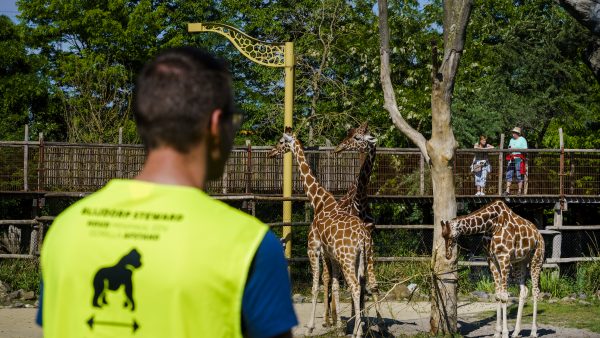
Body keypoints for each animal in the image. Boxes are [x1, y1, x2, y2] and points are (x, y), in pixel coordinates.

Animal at [268, 128, 370, 336]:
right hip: (359, 258)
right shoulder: (330, 254)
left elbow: (315, 286)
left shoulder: (313, 249)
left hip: (347, 258)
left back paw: (357, 332)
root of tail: (363, 237)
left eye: (281, 141)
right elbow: (334, 285)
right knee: (362, 285)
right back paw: (359, 328)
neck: (319, 202)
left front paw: (309, 327)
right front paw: (338, 326)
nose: (271, 152)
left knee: (355, 287)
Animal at [438, 201, 548, 338]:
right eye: (443, 236)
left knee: (535, 290)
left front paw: (505, 333)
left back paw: (533, 331)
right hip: (520, 262)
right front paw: (497, 333)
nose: (448, 255)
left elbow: (505, 296)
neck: (492, 225)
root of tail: (539, 235)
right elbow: (498, 296)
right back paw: (516, 332)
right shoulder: (491, 260)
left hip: (536, 259)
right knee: (524, 290)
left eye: (453, 236)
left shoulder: (504, 258)